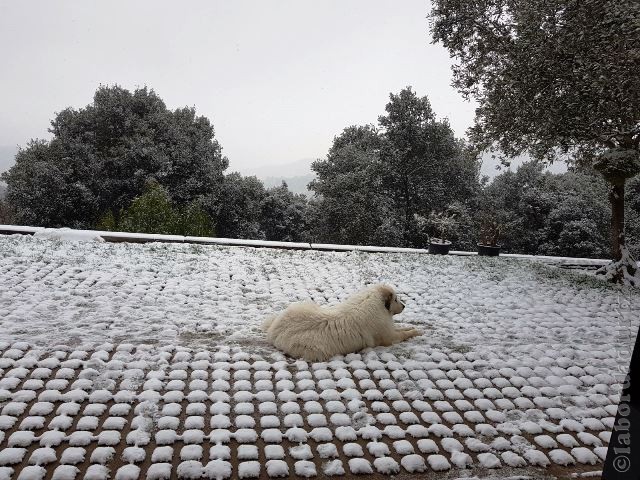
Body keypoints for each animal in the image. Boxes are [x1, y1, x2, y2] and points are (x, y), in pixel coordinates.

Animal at [262, 284, 422, 360]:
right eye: (396, 299)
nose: (404, 306)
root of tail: (274, 329)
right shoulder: (388, 338)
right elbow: (404, 334)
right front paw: (417, 331)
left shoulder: (390, 331)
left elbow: (402, 328)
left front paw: (411, 327)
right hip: (314, 350)